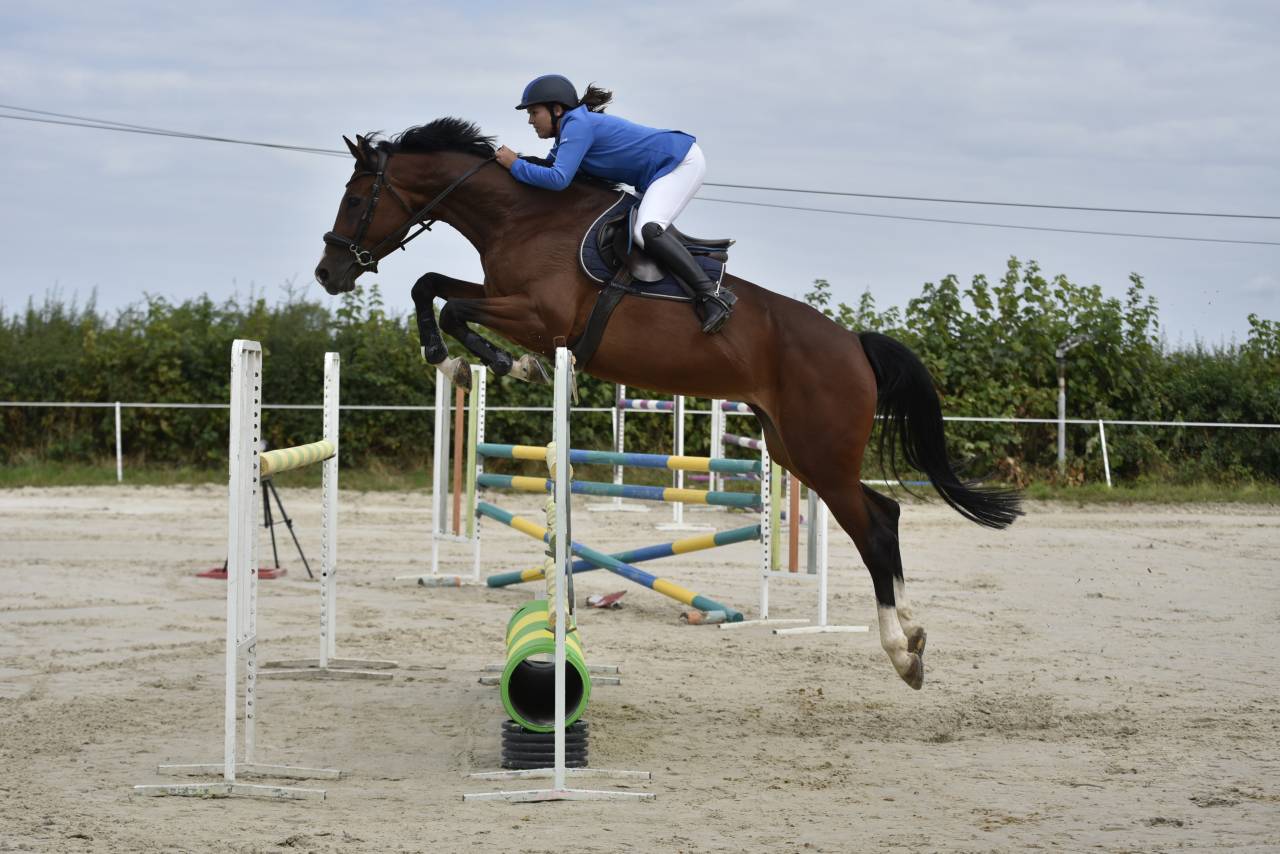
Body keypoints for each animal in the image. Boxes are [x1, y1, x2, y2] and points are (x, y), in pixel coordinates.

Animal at [313, 118, 1022, 689]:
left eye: (355, 198)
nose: (328, 273)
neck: (524, 217)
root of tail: (854, 343)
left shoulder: (540, 316)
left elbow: (451, 304)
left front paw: (498, 363)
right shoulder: (505, 296)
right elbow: (430, 285)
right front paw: (462, 359)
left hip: (820, 453)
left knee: (873, 528)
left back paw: (902, 654)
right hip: (794, 448)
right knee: (887, 513)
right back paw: (913, 634)